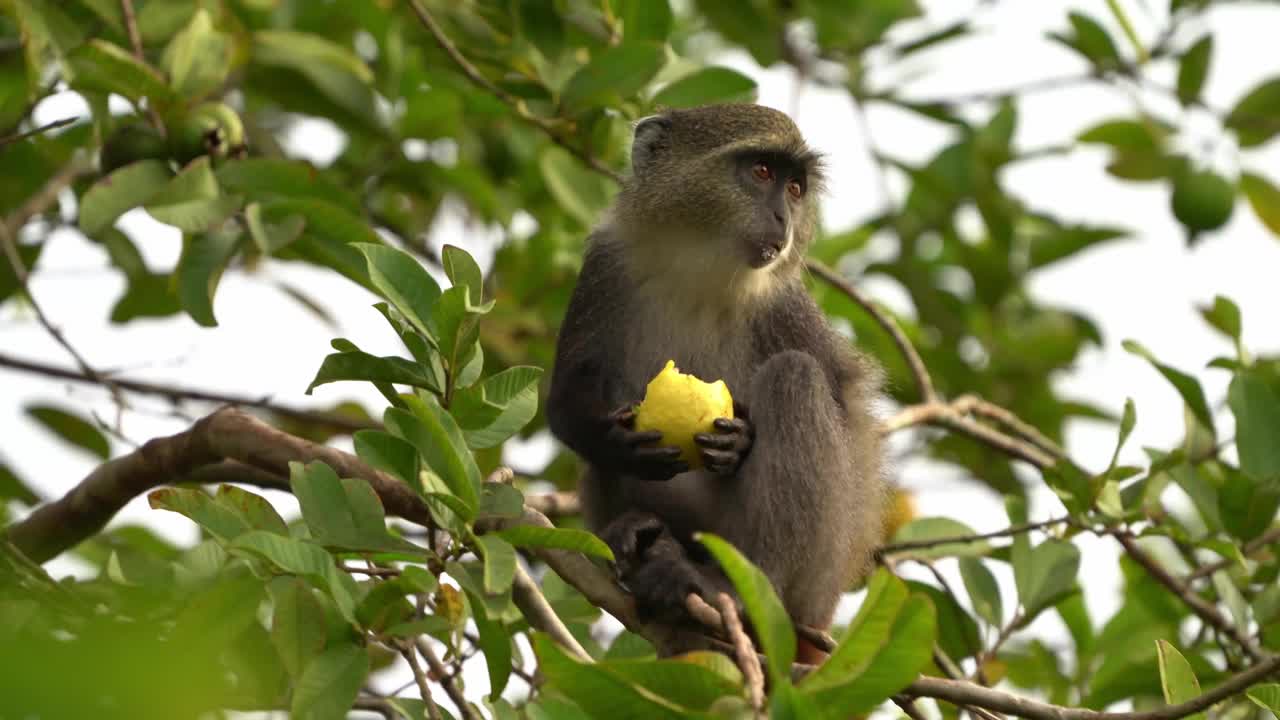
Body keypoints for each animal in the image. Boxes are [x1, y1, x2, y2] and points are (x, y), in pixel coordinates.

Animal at [545, 102, 885, 661]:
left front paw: (739, 442)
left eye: (796, 189)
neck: (701, 269)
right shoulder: (606, 263)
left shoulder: (785, 306)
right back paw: (638, 539)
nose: (783, 218)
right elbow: (567, 396)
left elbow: (850, 410)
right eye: (763, 172)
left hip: (808, 584)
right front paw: (613, 439)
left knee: (795, 377)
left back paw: (730, 591)